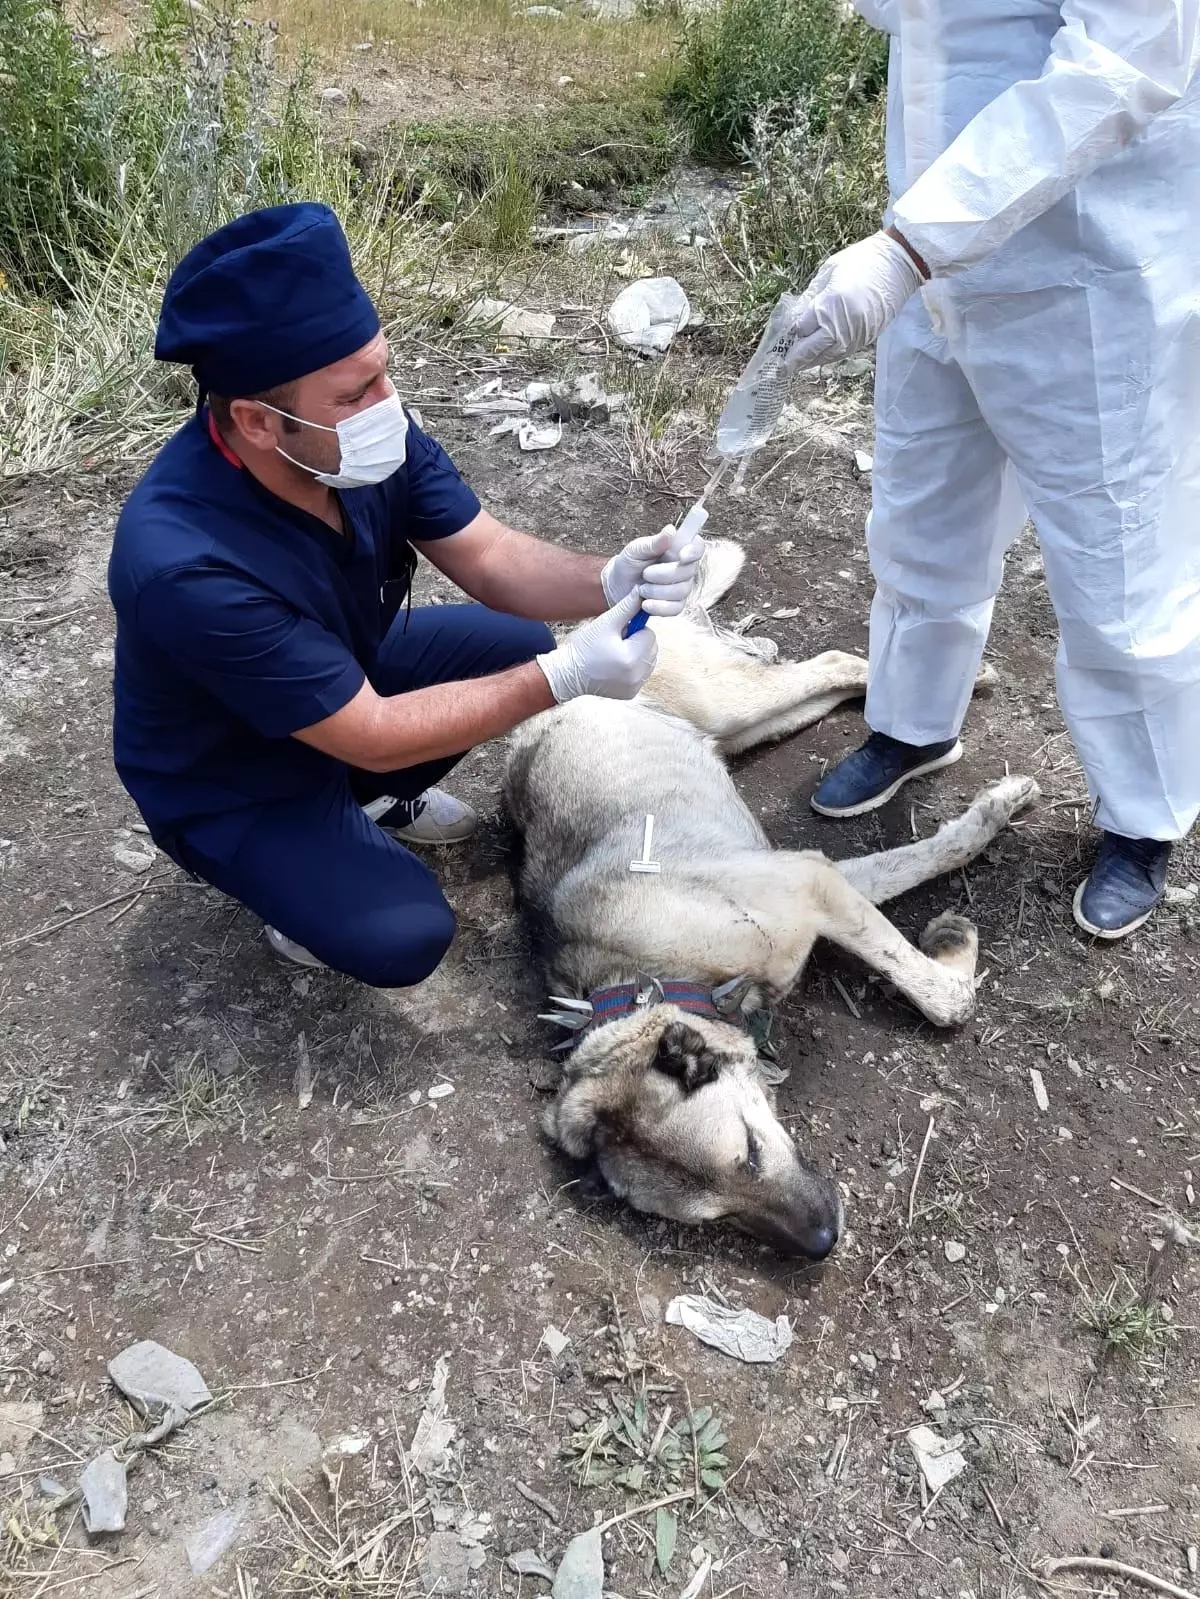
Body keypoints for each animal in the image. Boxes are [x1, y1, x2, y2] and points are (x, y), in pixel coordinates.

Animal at [502, 546, 1036, 1260]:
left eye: (751, 1153)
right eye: (720, 1216)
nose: (824, 1241)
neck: (650, 976)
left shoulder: (809, 886)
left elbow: (939, 994)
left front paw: (956, 934)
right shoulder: (816, 877)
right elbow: (913, 871)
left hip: (726, 702)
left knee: (832, 662)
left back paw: (968, 683)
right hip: (744, 726)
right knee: (824, 673)